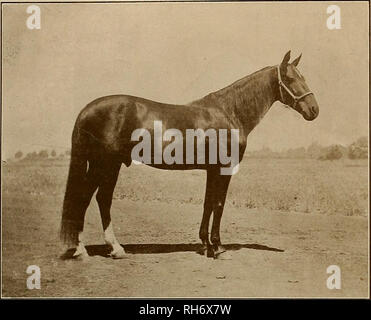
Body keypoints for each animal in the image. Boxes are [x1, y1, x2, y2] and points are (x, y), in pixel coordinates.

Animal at [60, 50, 320, 260]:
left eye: (304, 77)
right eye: (290, 78)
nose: (314, 110)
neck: (229, 111)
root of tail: (86, 110)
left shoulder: (211, 169)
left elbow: (207, 203)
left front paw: (205, 244)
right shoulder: (224, 168)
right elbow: (219, 204)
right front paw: (217, 248)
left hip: (109, 166)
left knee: (101, 199)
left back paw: (114, 249)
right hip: (103, 165)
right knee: (86, 198)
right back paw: (83, 250)